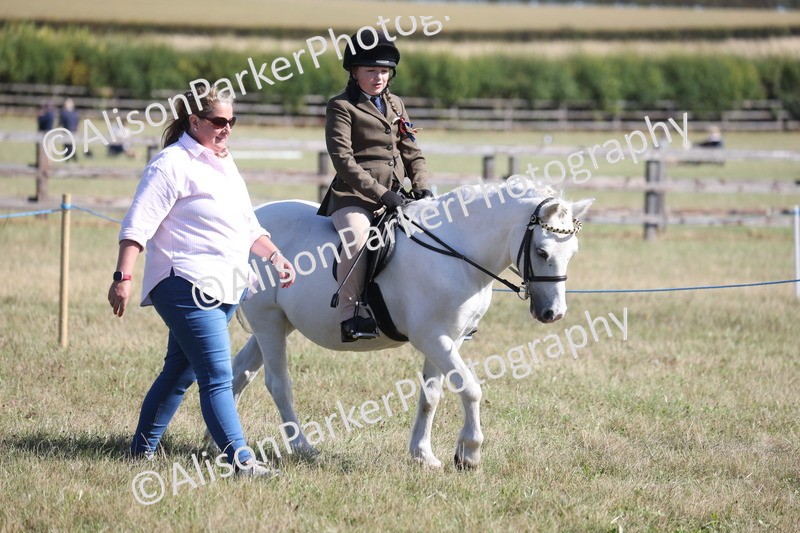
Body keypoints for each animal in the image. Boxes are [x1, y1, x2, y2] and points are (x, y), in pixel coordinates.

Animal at [229, 180, 593, 469]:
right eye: (542, 251)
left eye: (574, 253)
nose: (553, 313)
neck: (456, 255)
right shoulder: (432, 337)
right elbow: (470, 387)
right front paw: (469, 454)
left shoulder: (448, 339)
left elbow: (430, 395)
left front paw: (423, 454)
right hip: (268, 321)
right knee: (278, 384)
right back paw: (302, 447)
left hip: (277, 324)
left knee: (239, 373)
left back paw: (226, 445)